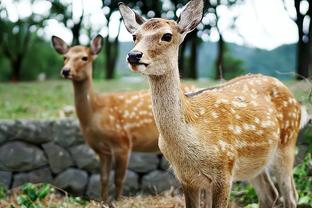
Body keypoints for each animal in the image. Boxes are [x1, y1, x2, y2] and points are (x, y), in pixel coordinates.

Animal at [51, 35, 197, 202]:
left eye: (84, 58)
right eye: (65, 57)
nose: (65, 71)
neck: (95, 113)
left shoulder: (122, 142)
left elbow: (119, 179)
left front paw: (117, 201)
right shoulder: (102, 150)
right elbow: (103, 178)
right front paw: (103, 202)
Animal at [119, 0, 310, 207]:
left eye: (167, 35)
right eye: (134, 36)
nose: (134, 55)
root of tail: (297, 104)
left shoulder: (224, 168)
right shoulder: (186, 177)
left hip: (287, 143)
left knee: (290, 195)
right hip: (255, 163)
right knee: (270, 194)